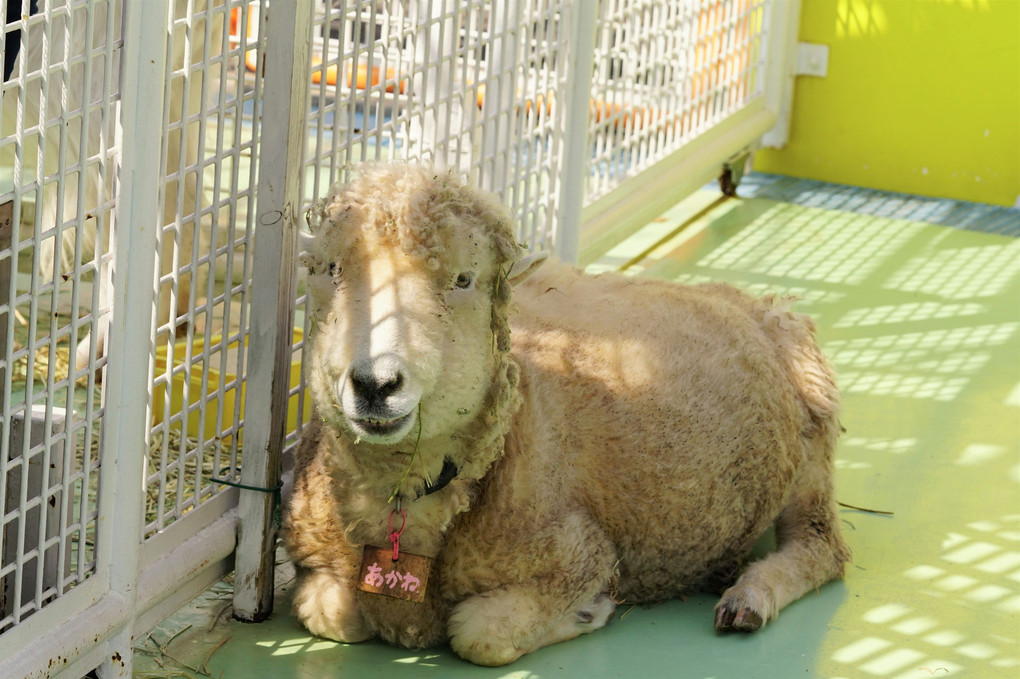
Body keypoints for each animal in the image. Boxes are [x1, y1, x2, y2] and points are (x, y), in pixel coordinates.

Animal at [283, 161, 848, 664]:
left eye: (465, 279)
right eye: (330, 270)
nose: (375, 384)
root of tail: (751, 299)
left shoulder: (584, 553)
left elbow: (478, 633)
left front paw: (588, 613)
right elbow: (328, 610)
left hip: (814, 441)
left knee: (824, 548)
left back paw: (750, 597)